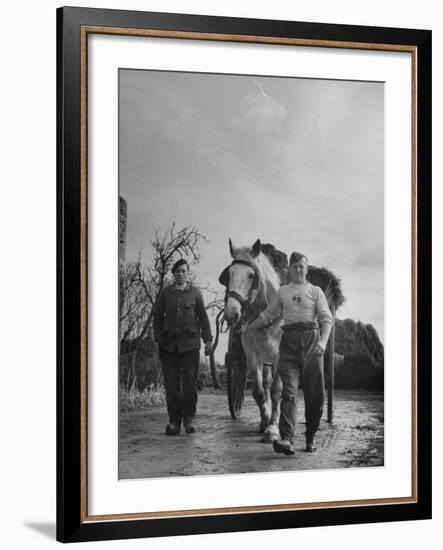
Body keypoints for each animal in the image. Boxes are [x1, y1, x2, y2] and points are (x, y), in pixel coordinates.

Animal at [219, 238, 284, 444]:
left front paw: (273, 429)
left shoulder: (280, 355)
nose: (231, 313)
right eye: (230, 274)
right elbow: (259, 392)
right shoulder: (252, 354)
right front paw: (265, 421)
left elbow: (277, 391)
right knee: (266, 382)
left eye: (250, 275)